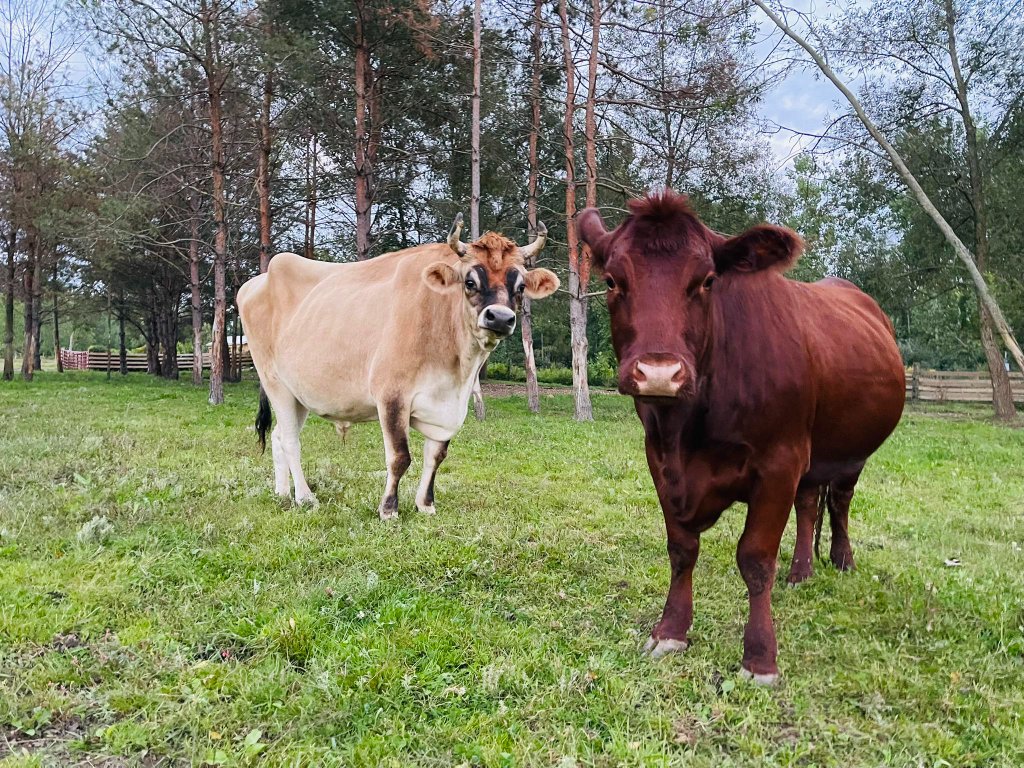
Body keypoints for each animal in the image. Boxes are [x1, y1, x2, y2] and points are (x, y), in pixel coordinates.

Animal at [236, 216, 559, 520]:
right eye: (470, 281)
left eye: (520, 286)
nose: (500, 318)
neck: (456, 368)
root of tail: (258, 279)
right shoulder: (391, 395)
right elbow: (400, 457)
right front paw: (389, 509)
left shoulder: (448, 407)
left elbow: (436, 455)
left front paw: (425, 505)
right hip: (275, 381)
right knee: (291, 440)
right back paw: (305, 498)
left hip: (299, 392)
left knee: (278, 436)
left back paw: (282, 494)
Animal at [577, 191, 905, 684]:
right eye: (613, 281)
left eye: (708, 280)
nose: (659, 373)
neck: (688, 430)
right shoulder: (659, 459)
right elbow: (681, 549)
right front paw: (670, 630)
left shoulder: (779, 462)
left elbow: (754, 559)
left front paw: (760, 657)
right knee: (810, 502)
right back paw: (801, 570)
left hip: (852, 451)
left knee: (840, 501)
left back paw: (842, 559)